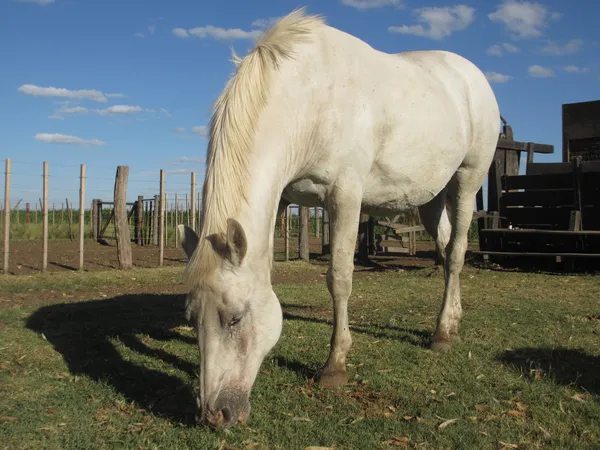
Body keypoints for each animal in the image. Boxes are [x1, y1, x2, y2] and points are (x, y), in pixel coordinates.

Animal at [178, 7, 502, 428]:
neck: (308, 98)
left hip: (467, 180)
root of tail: (472, 75)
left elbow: (339, 278)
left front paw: (335, 366)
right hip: (431, 199)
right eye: (191, 317)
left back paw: (442, 334)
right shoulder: (283, 199)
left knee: (459, 251)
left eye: (234, 319)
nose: (215, 415)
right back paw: (452, 321)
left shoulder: (345, 196)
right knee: (447, 252)